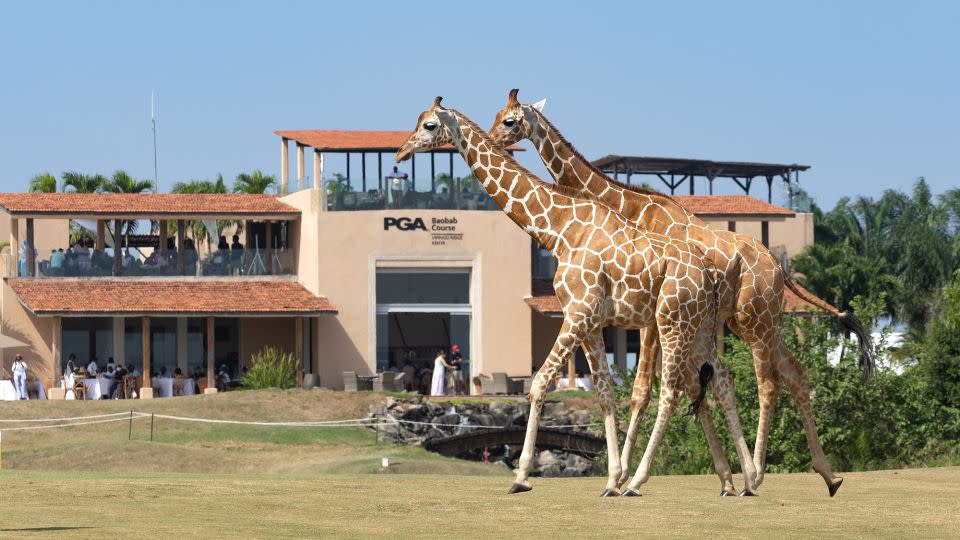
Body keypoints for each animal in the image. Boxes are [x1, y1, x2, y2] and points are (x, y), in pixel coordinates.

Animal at [398, 98, 756, 498]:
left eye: (428, 125)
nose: (401, 152)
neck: (557, 230)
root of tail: (708, 275)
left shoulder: (577, 314)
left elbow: (540, 383)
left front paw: (522, 476)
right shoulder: (589, 321)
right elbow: (604, 390)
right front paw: (611, 479)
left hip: (671, 322)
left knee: (672, 391)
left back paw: (640, 481)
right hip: (700, 328)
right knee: (720, 381)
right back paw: (745, 478)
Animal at [488, 88, 872, 498]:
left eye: (509, 120)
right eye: (496, 116)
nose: (494, 141)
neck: (630, 206)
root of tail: (779, 267)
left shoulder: (649, 316)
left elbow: (645, 389)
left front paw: (623, 476)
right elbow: (682, 387)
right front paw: (717, 478)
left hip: (754, 323)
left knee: (767, 384)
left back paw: (758, 478)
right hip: (759, 322)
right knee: (796, 374)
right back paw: (828, 476)